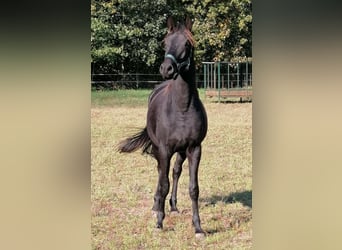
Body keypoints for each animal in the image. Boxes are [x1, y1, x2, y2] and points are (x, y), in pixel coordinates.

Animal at [117, 16, 208, 237]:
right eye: (165, 43)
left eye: (187, 44)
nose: (167, 69)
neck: (182, 108)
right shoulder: (165, 149)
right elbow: (164, 182)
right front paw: (159, 222)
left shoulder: (195, 149)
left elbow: (193, 188)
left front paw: (198, 227)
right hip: (159, 149)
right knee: (161, 173)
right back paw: (156, 205)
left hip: (181, 151)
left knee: (175, 172)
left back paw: (172, 206)